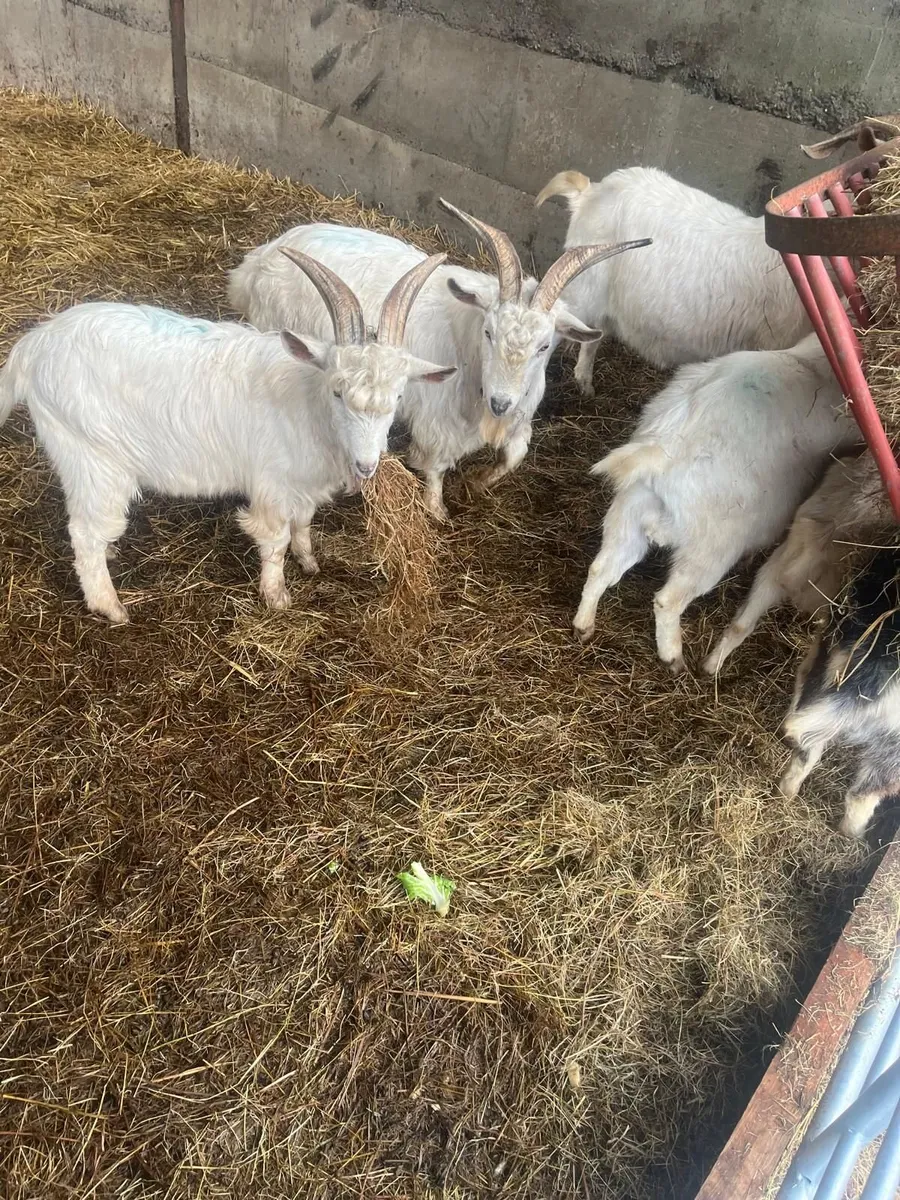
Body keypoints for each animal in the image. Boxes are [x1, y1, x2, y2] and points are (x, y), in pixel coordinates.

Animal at [0, 251, 455, 623]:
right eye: (337, 391)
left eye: (399, 396)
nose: (366, 465)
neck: (308, 405)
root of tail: (33, 347)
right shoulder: (272, 485)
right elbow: (275, 539)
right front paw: (277, 596)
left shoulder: (304, 485)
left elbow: (304, 523)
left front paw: (309, 561)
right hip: (92, 457)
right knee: (85, 532)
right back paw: (111, 607)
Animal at [228, 204, 649, 520]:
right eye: (489, 332)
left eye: (545, 346)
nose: (499, 402)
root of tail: (259, 260)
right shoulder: (438, 417)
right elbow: (435, 463)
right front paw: (437, 509)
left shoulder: (520, 414)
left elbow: (514, 456)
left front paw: (478, 481)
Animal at [572, 333, 859, 672]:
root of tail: (664, 451)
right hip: (709, 551)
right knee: (668, 600)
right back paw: (674, 658)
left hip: (628, 514)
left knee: (601, 569)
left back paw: (583, 625)